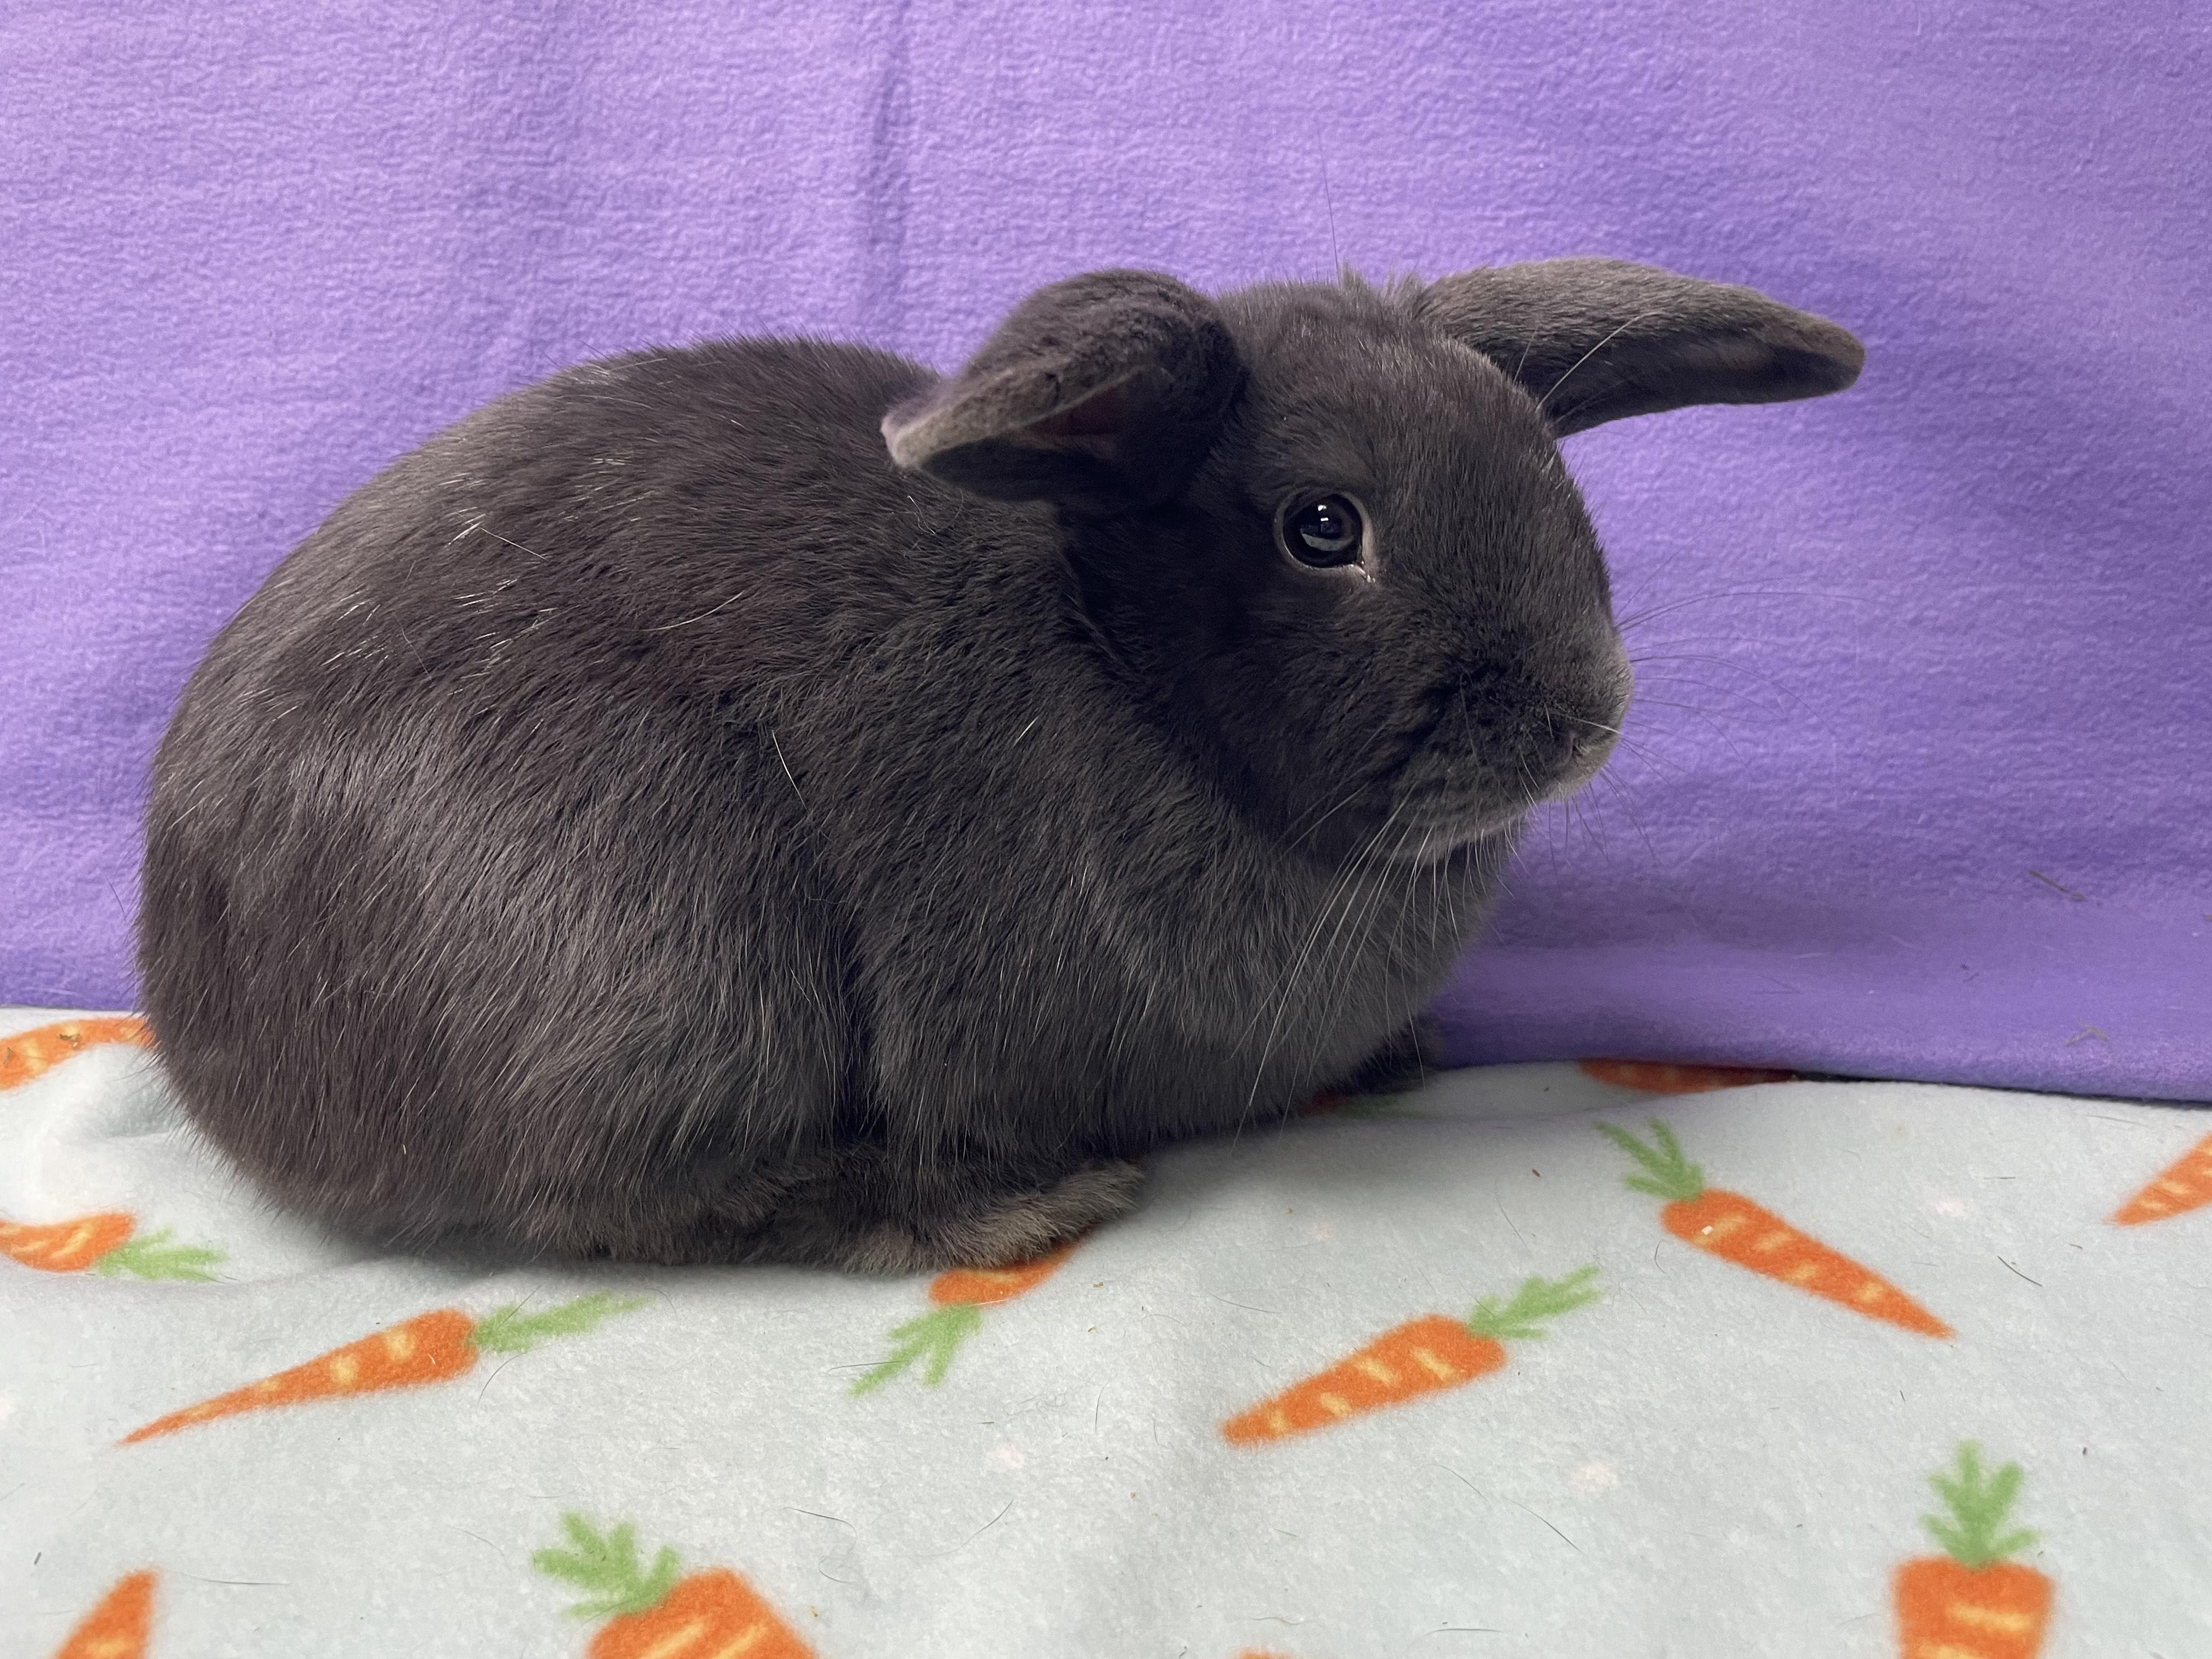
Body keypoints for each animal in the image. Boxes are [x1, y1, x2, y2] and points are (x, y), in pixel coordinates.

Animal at [138, 259, 1862, 1272]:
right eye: (1324, 528)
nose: (1584, 719)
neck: (1130, 675)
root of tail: (213, 1049)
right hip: (665, 952)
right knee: (632, 1194)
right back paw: (1019, 1204)